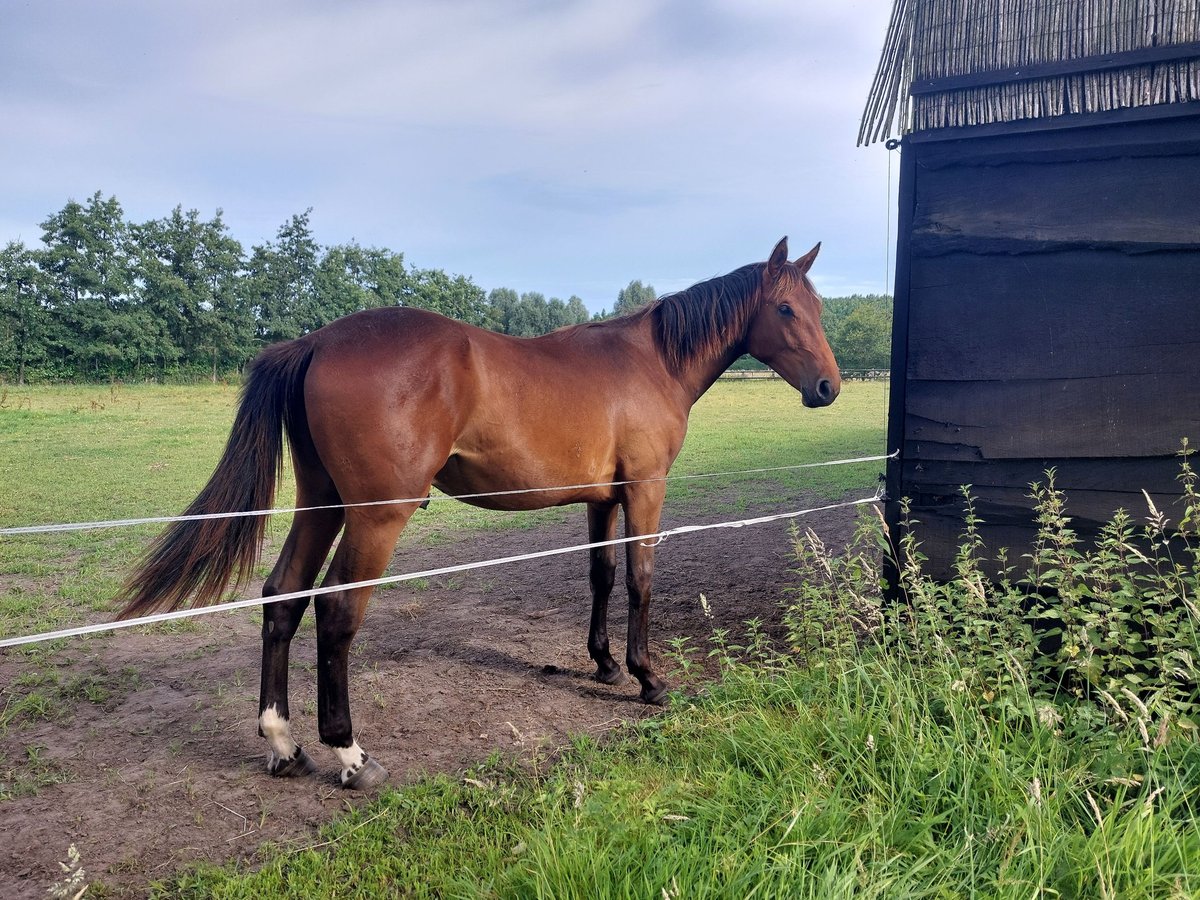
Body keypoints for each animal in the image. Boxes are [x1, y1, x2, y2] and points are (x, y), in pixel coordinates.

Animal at [117, 237, 840, 787]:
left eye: (816, 307)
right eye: (784, 308)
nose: (829, 387)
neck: (650, 361)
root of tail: (316, 342)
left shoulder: (601, 500)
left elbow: (601, 576)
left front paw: (605, 664)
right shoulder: (644, 491)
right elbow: (639, 580)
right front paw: (647, 678)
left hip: (321, 503)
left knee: (283, 596)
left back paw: (283, 742)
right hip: (377, 516)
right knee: (336, 610)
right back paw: (349, 752)